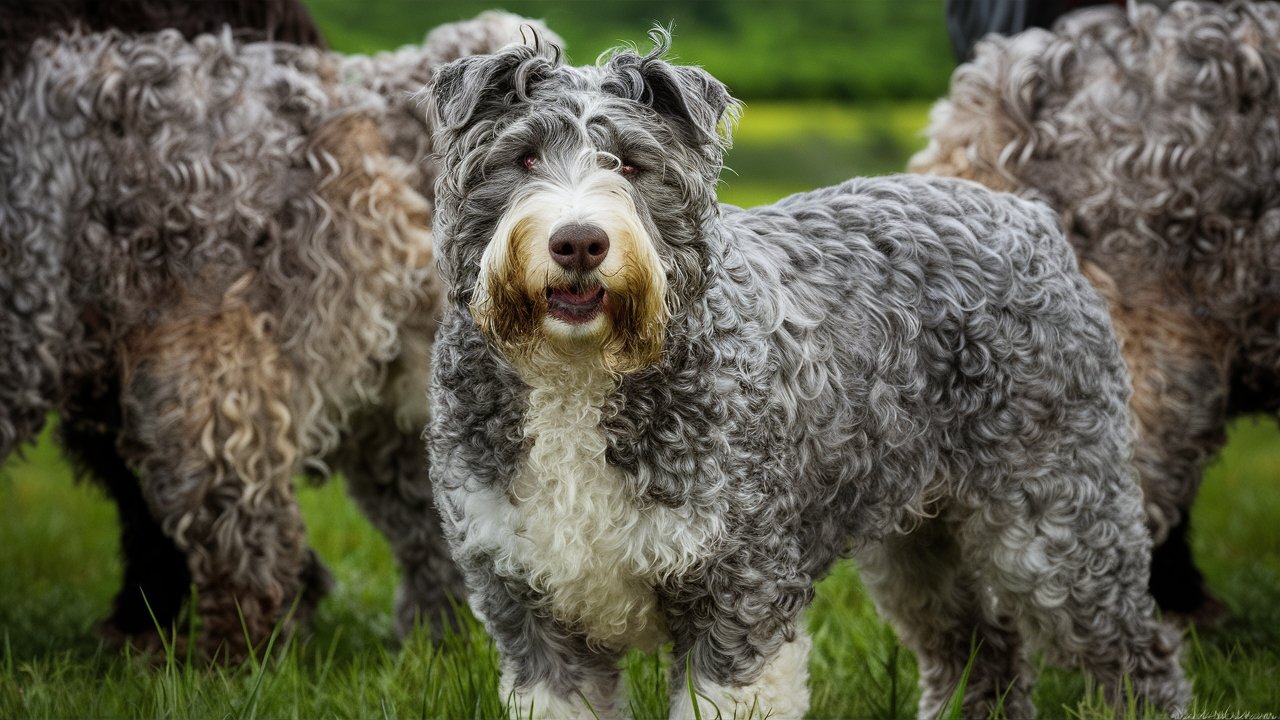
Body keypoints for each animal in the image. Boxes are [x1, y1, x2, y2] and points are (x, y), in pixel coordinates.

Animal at [0, 9, 550, 655]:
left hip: (195, 367)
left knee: (247, 526)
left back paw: (223, 654)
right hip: (397, 388)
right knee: (435, 523)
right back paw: (436, 640)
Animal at [422, 29, 1187, 717]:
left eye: (633, 165)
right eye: (522, 157)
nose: (579, 241)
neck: (581, 376)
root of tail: (1026, 212)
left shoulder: (740, 592)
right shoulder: (533, 613)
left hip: (1057, 524)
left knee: (1136, 653)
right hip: (923, 544)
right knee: (981, 651)